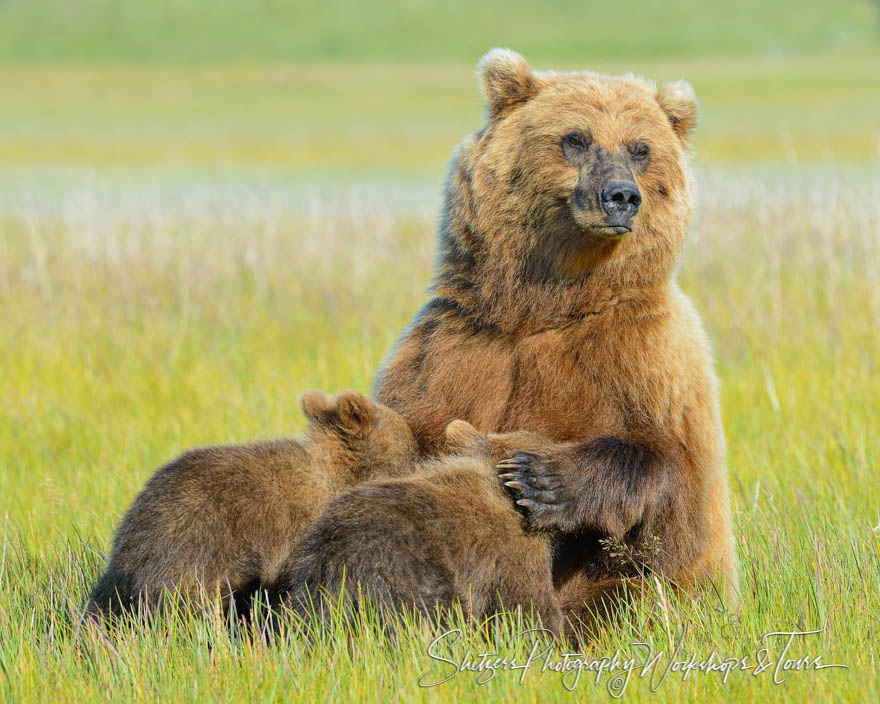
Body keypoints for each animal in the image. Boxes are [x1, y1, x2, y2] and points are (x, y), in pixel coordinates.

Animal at [374, 48, 740, 620]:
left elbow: (676, 491)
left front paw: (538, 480)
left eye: (640, 148)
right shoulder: (453, 347)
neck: (546, 306)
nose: (621, 196)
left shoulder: (650, 357)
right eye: (577, 138)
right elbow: (409, 436)